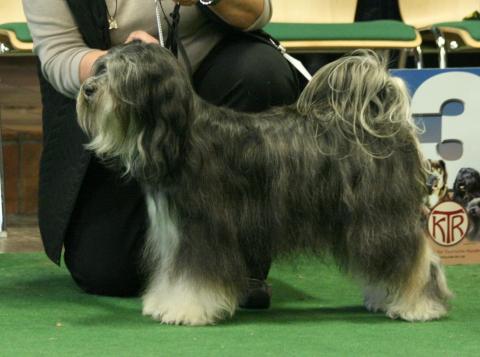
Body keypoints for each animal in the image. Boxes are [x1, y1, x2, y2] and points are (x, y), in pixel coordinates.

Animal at [77, 43, 452, 324]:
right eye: (100, 68)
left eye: (125, 74)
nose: (88, 89)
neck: (181, 140)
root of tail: (383, 122)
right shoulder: (175, 234)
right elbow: (174, 273)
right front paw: (164, 302)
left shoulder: (204, 232)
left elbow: (194, 277)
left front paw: (186, 309)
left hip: (381, 217)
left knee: (415, 260)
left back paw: (417, 305)